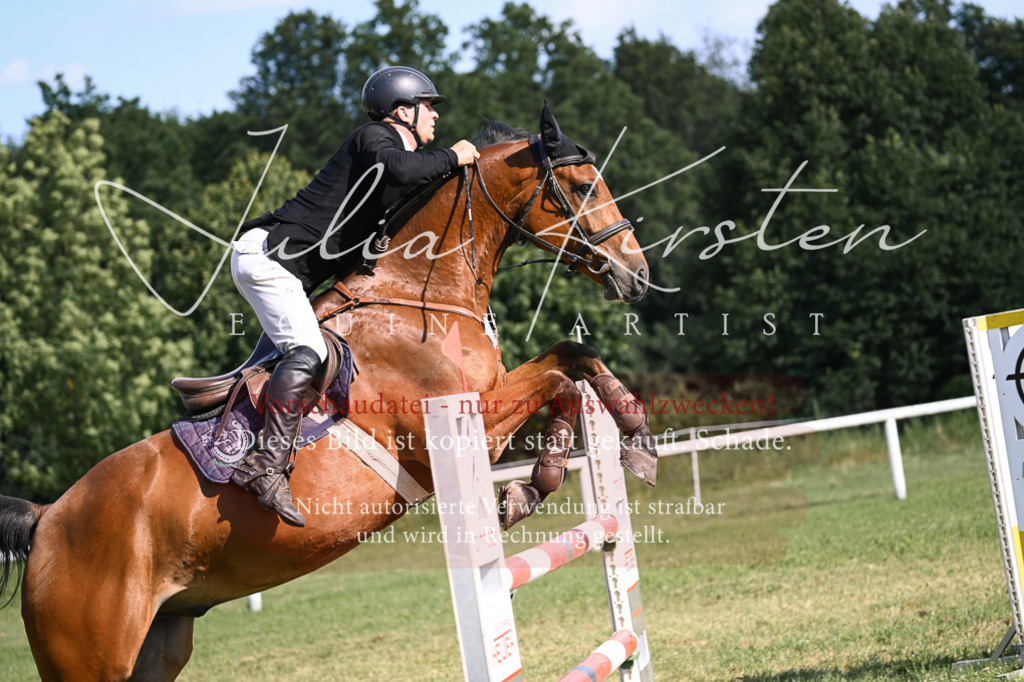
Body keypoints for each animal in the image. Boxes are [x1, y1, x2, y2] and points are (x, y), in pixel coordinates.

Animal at [0, 102, 655, 680]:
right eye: (582, 184)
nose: (638, 276)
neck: (418, 294)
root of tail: (47, 518)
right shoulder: (461, 425)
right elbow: (555, 377)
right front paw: (534, 487)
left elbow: (570, 360)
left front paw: (632, 440)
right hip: (90, 657)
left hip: (161, 640)